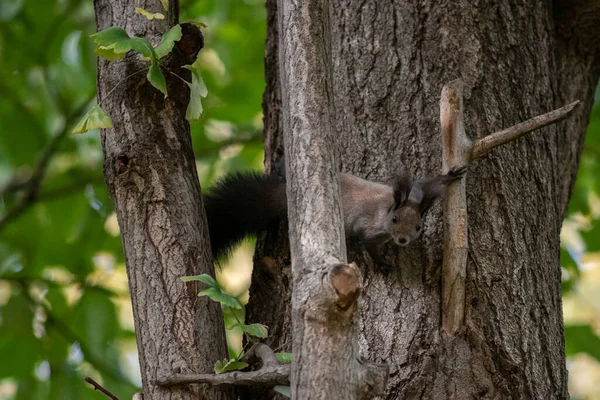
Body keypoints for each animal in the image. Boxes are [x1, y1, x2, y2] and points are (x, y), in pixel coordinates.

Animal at [204, 166, 466, 268]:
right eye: (394, 220)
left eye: (419, 227)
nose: (402, 240)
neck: (386, 207)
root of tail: (284, 195)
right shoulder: (369, 230)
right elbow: (368, 244)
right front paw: (382, 264)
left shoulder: (417, 191)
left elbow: (425, 182)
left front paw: (450, 176)